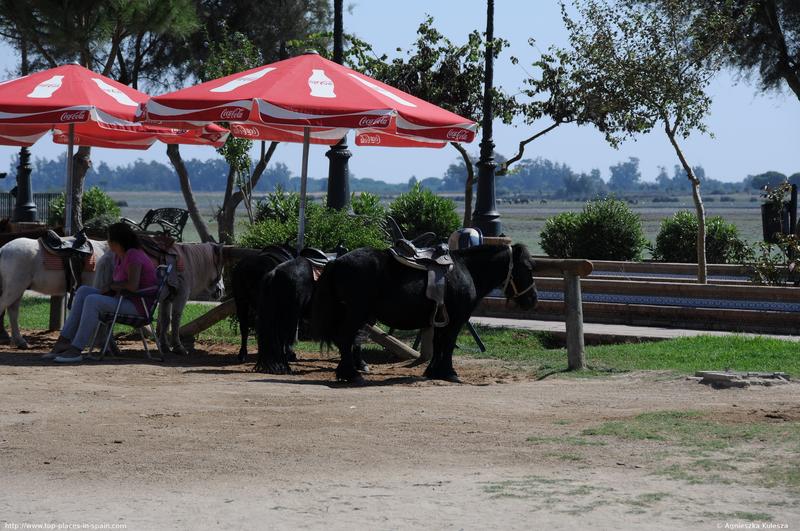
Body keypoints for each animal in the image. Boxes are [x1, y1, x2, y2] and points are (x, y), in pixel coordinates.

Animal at [312, 243, 536, 384]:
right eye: (527, 267)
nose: (533, 299)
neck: (466, 270)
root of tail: (336, 262)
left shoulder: (440, 320)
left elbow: (438, 345)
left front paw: (433, 372)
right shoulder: (456, 320)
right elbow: (448, 345)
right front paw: (449, 373)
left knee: (345, 339)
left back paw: (346, 372)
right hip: (357, 313)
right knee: (345, 338)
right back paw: (351, 374)